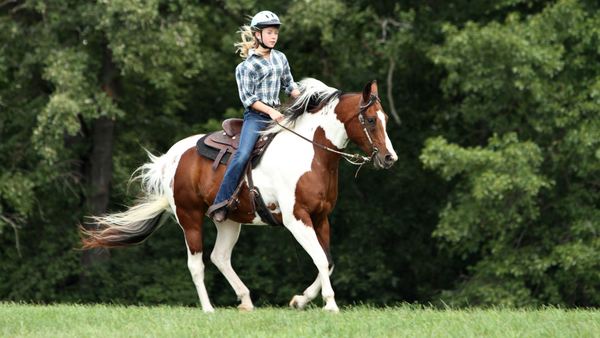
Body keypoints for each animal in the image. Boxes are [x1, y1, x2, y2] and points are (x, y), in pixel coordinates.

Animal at [79, 78, 398, 312]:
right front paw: (330, 305)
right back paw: (208, 309)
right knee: (197, 263)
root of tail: (170, 158)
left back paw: (245, 300)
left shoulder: (321, 218)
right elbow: (319, 258)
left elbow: (328, 262)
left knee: (220, 256)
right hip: (189, 216)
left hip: (228, 220)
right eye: (370, 120)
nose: (389, 158)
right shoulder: (297, 219)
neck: (311, 153)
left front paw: (300, 300)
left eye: (384, 117)